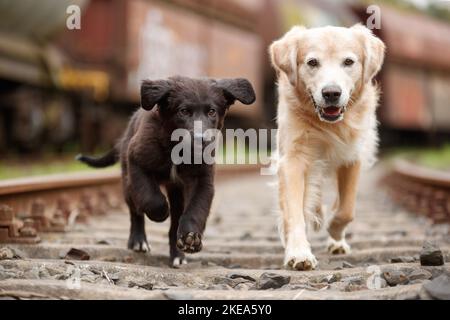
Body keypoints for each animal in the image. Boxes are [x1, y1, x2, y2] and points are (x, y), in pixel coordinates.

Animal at [75, 76, 255, 266]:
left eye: (212, 112)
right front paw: (160, 213)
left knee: (175, 221)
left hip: (176, 192)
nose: (202, 140)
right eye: (184, 111)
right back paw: (139, 240)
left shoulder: (203, 180)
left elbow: (196, 209)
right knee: (135, 210)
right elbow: (151, 198)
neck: (178, 149)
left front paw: (190, 238)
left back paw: (178, 254)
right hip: (127, 179)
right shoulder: (137, 161)